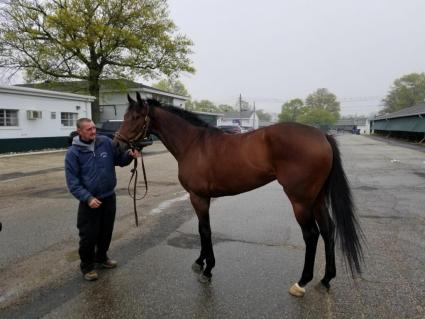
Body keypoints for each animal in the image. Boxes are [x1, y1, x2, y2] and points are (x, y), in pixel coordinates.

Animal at [114, 92, 362, 298]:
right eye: (124, 116)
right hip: (316, 198)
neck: (193, 144)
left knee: (311, 235)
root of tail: (322, 135)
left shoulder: (198, 197)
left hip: (300, 201)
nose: (117, 145)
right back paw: (326, 278)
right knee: (328, 230)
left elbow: (205, 230)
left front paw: (208, 269)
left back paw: (301, 283)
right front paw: (200, 261)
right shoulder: (200, 198)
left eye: (136, 117)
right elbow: (201, 229)